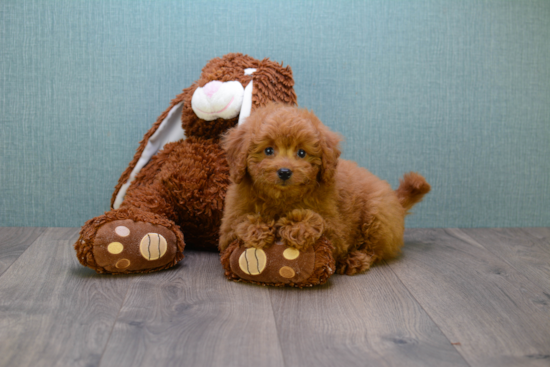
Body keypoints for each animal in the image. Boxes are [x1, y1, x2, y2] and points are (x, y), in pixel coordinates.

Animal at [219, 103, 432, 276]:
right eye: (268, 150)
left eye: (301, 153)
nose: (285, 171)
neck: (282, 198)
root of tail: (396, 201)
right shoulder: (228, 227)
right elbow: (240, 221)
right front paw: (258, 228)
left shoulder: (336, 231)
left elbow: (318, 220)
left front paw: (297, 227)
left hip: (377, 214)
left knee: (373, 249)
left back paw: (355, 259)